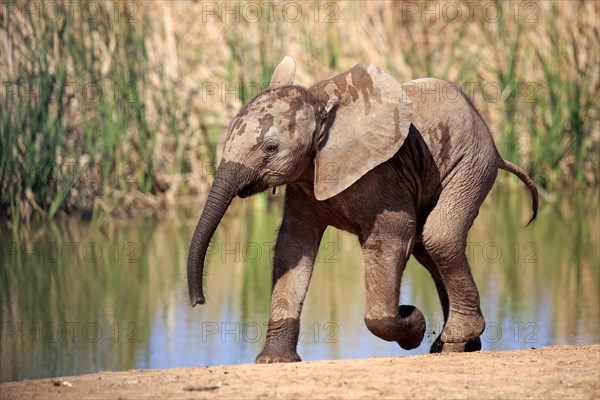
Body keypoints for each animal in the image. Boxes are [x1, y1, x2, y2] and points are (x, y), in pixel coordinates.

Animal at [185, 57, 536, 362]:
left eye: (270, 148)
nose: (198, 301)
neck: (319, 103)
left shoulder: (380, 173)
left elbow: (392, 236)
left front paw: (413, 321)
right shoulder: (305, 180)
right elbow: (293, 245)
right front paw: (273, 361)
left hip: (471, 163)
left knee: (439, 236)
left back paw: (453, 340)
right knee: (426, 247)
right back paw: (456, 345)